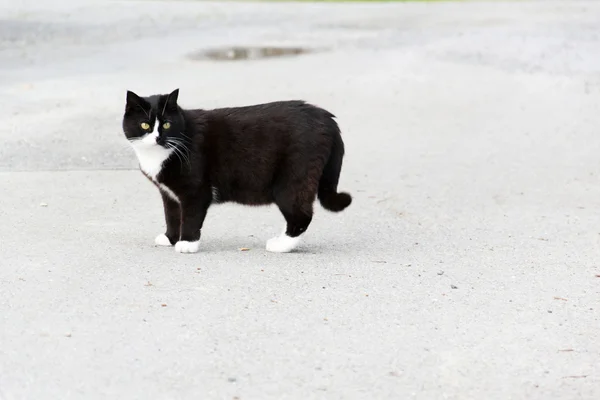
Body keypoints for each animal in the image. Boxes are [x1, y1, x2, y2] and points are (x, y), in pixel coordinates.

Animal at [122, 89, 352, 255]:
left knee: (301, 215)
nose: (158, 138)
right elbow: (171, 214)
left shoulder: (195, 191)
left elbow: (190, 216)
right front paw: (170, 237)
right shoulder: (169, 193)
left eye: (168, 124)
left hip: (292, 181)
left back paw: (281, 245)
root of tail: (327, 119)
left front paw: (186, 243)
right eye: (145, 125)